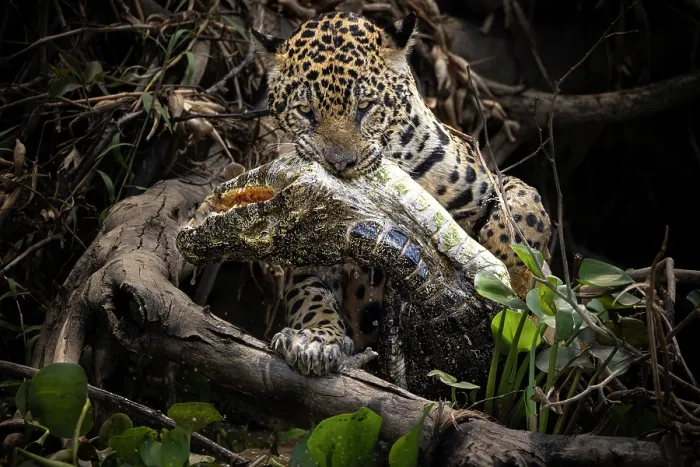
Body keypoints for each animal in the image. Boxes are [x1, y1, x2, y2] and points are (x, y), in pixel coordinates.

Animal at [250, 10, 552, 378]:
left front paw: (509, 269)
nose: (340, 163)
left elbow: (524, 203)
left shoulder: (485, 178)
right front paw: (315, 340)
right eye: (306, 111)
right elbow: (309, 295)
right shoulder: (316, 249)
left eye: (365, 106)